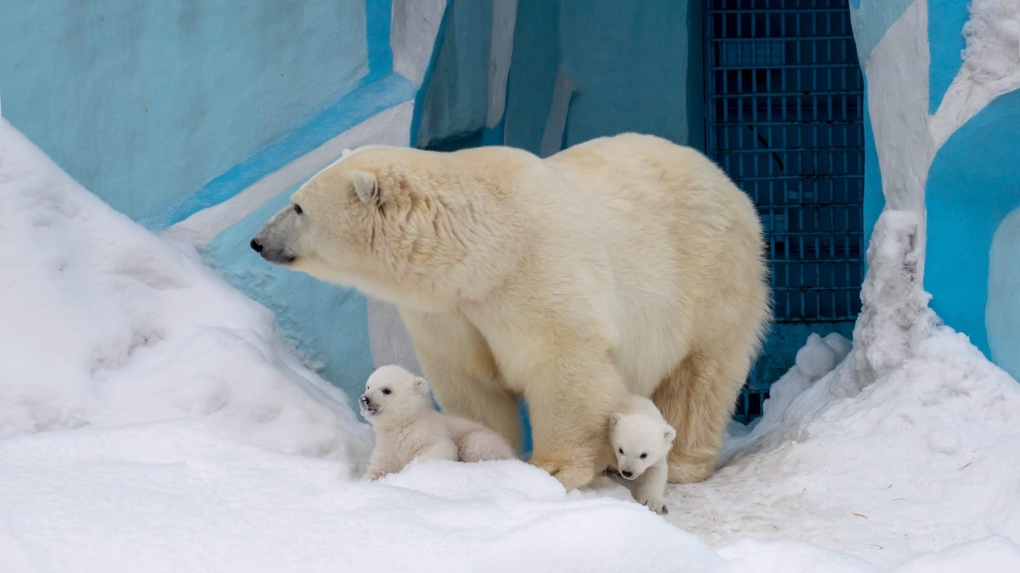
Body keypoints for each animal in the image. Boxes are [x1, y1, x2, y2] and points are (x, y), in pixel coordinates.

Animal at [250, 132, 767, 485]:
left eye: (298, 207)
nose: (256, 241)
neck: (483, 249)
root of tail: (724, 179)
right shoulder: (449, 310)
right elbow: (469, 380)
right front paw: (489, 456)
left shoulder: (536, 273)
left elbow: (561, 364)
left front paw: (553, 468)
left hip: (710, 276)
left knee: (700, 375)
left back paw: (679, 461)